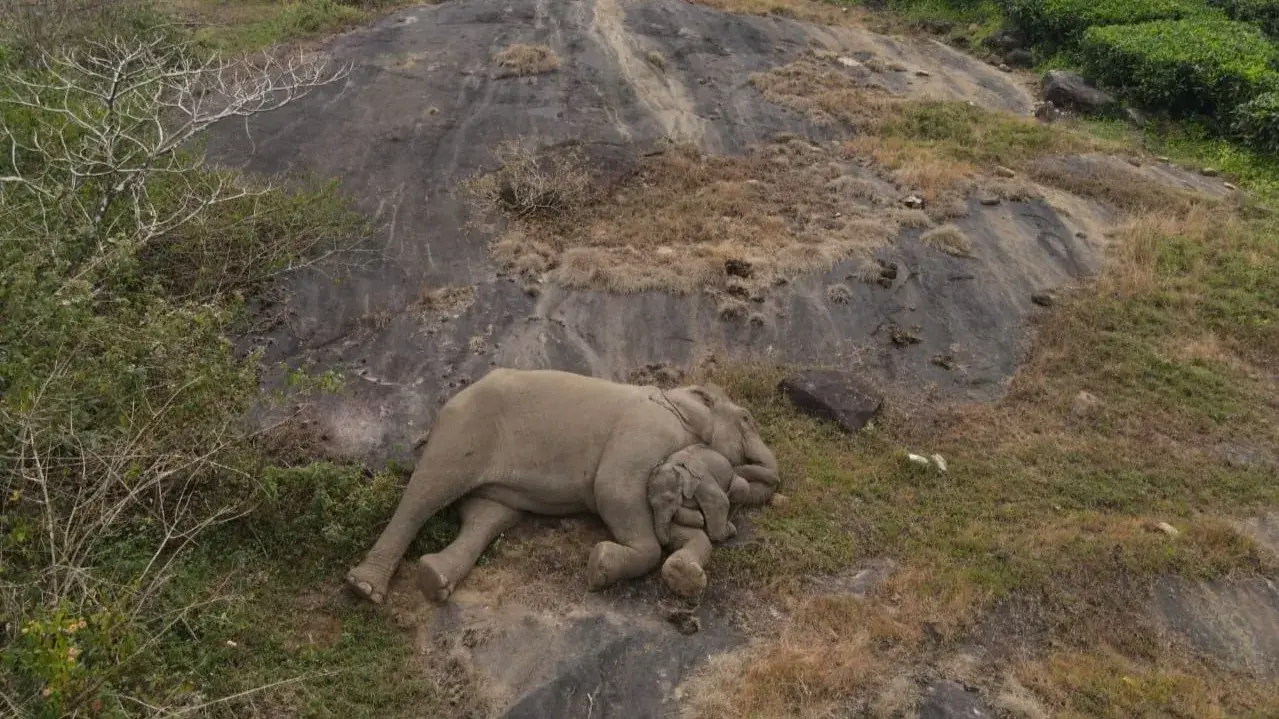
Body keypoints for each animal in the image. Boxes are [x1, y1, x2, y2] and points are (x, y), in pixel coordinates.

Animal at [648, 446, 780, 598]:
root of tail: (733, 467)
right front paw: (699, 519)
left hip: (735, 481)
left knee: (740, 489)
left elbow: (719, 501)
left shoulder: (703, 480)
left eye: (670, 499)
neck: (674, 464)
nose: (665, 545)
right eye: (651, 505)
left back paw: (730, 523)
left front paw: (727, 530)